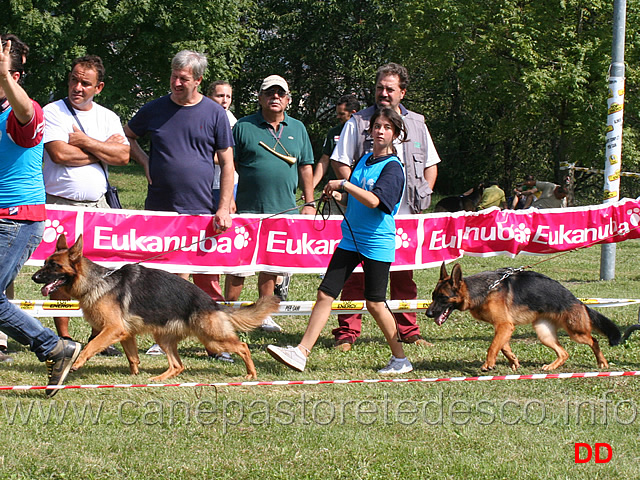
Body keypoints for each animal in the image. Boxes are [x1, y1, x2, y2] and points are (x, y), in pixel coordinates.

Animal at [31, 234, 278, 380]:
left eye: (54, 266)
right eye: (44, 263)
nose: (34, 277)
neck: (97, 281)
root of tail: (213, 303)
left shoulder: (112, 329)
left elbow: (91, 345)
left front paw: (77, 362)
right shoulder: (125, 333)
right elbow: (132, 357)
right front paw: (134, 376)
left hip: (212, 339)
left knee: (243, 347)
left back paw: (251, 373)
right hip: (164, 338)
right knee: (178, 366)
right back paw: (158, 380)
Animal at [424, 262, 620, 372]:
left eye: (442, 298)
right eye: (433, 296)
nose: (428, 313)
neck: (482, 290)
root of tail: (578, 300)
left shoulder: (504, 326)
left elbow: (493, 346)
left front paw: (488, 364)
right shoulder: (503, 327)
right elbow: (502, 346)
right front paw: (513, 361)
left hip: (576, 332)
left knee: (594, 340)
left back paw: (602, 362)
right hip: (544, 333)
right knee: (564, 353)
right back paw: (552, 367)